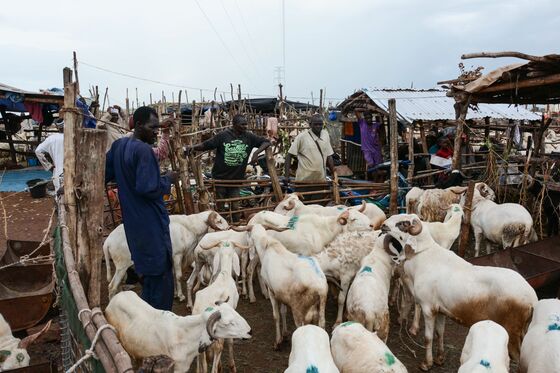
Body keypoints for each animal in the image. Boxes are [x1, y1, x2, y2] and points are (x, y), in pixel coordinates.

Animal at [104, 290, 252, 372]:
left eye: (236, 313)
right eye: (229, 323)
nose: (250, 331)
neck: (185, 334)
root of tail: (116, 297)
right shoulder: (178, 367)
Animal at [382, 214, 536, 368]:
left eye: (403, 223)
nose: (383, 225)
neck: (423, 256)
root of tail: (532, 300)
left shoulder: (428, 308)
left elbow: (428, 338)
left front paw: (427, 363)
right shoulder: (440, 310)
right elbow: (440, 333)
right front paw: (439, 359)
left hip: (513, 331)